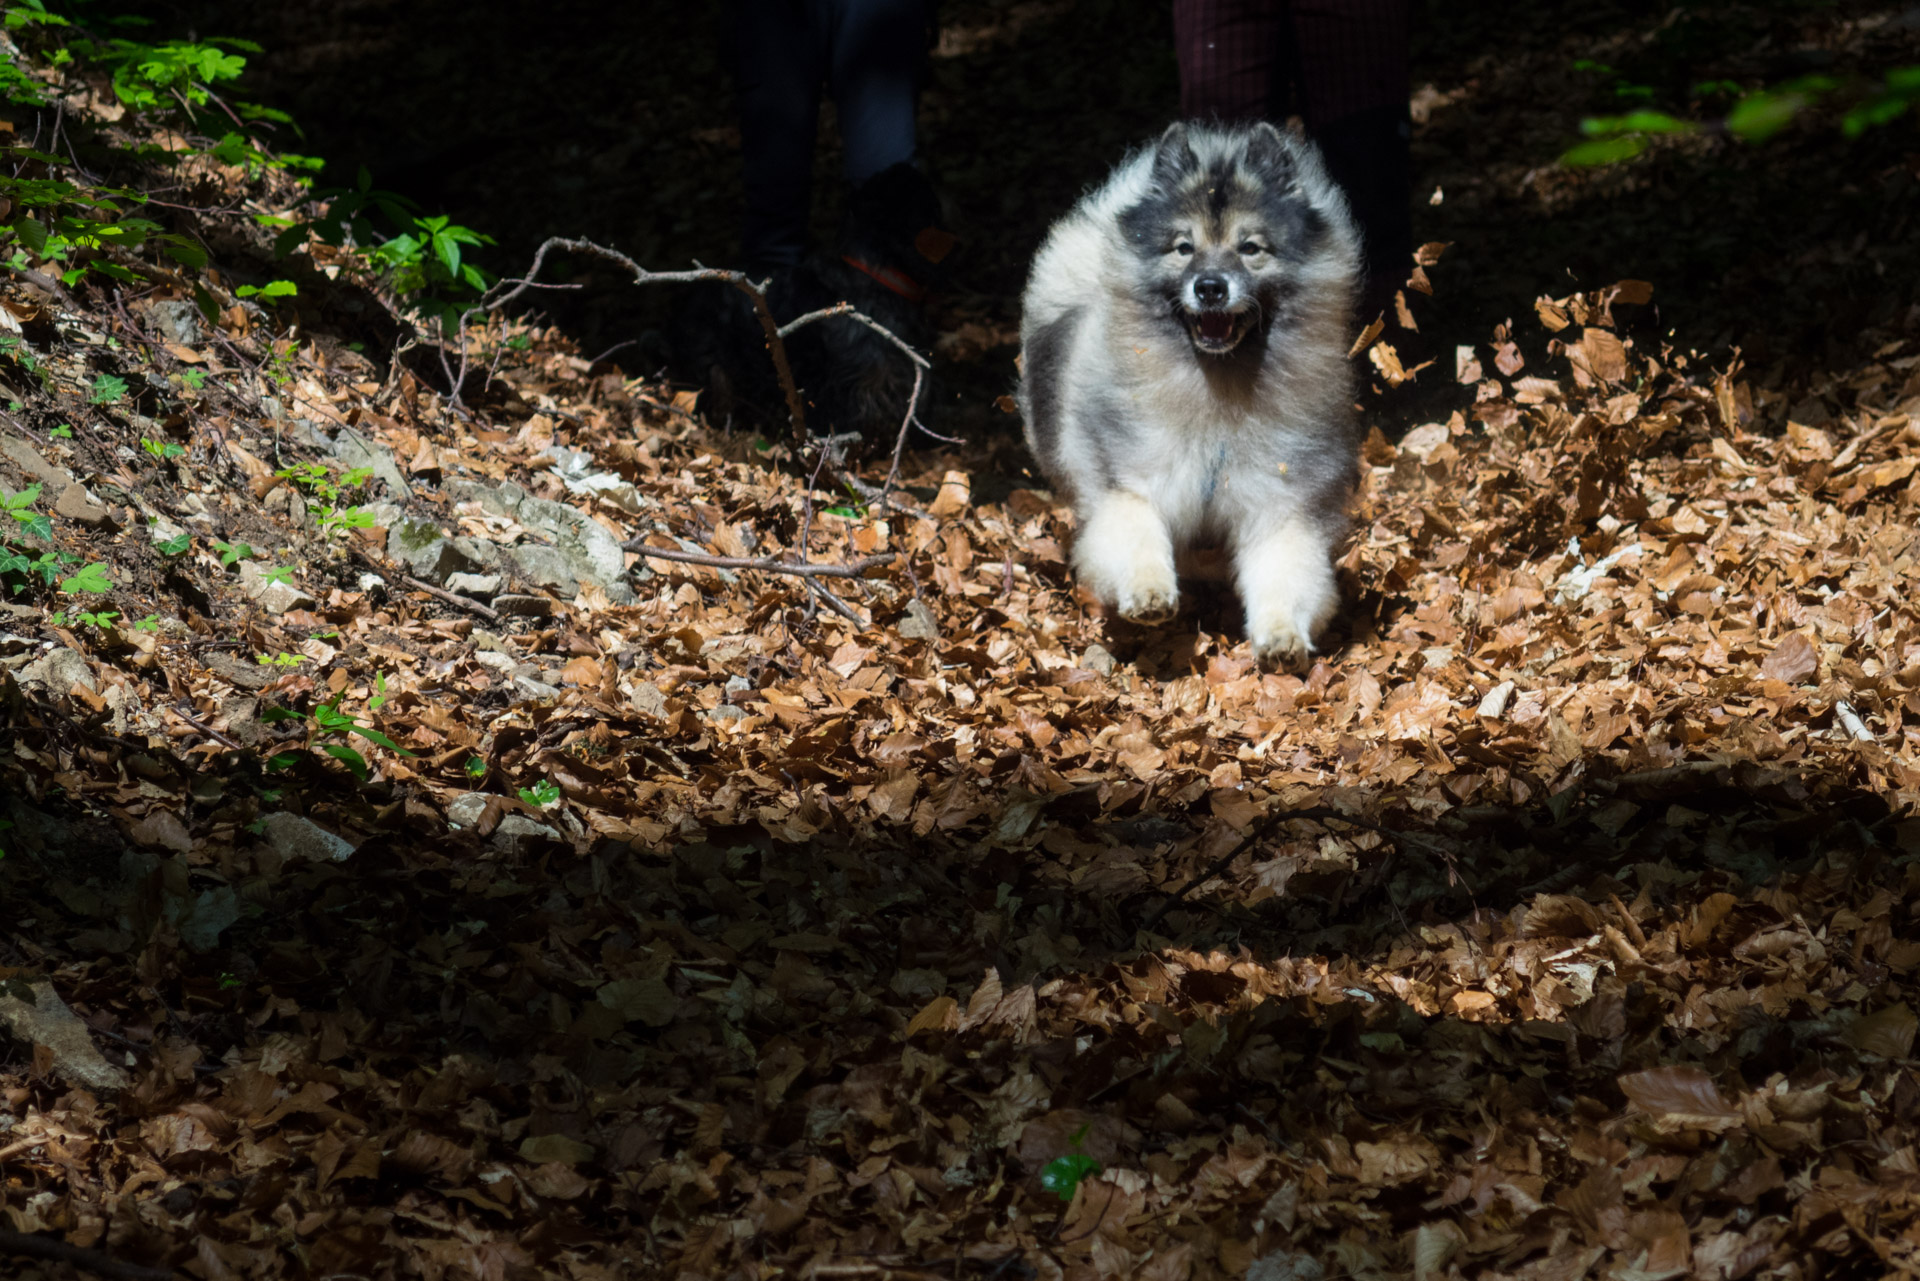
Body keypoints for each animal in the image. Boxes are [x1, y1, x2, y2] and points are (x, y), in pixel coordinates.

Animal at [1021, 121, 1367, 668]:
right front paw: (1149, 594)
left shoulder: (1278, 502)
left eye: (1250, 248)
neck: (1217, 391)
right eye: (1184, 247)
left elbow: (1285, 572)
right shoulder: (1130, 482)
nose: (1210, 287)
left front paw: (1282, 637)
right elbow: (1137, 533)